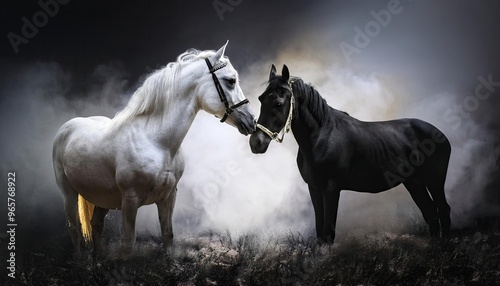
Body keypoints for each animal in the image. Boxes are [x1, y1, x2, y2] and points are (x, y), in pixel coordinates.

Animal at [52, 43, 256, 260]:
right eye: (231, 80)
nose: (252, 120)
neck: (156, 142)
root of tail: (67, 127)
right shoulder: (130, 200)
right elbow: (127, 243)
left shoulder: (168, 197)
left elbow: (168, 236)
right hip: (68, 193)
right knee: (74, 227)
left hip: (101, 198)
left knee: (96, 225)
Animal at [252, 65, 452, 244]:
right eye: (261, 99)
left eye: (278, 103)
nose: (256, 143)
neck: (322, 136)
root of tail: (440, 134)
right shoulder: (314, 188)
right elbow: (320, 231)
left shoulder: (331, 188)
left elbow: (328, 232)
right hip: (414, 182)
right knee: (430, 212)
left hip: (434, 180)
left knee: (442, 209)